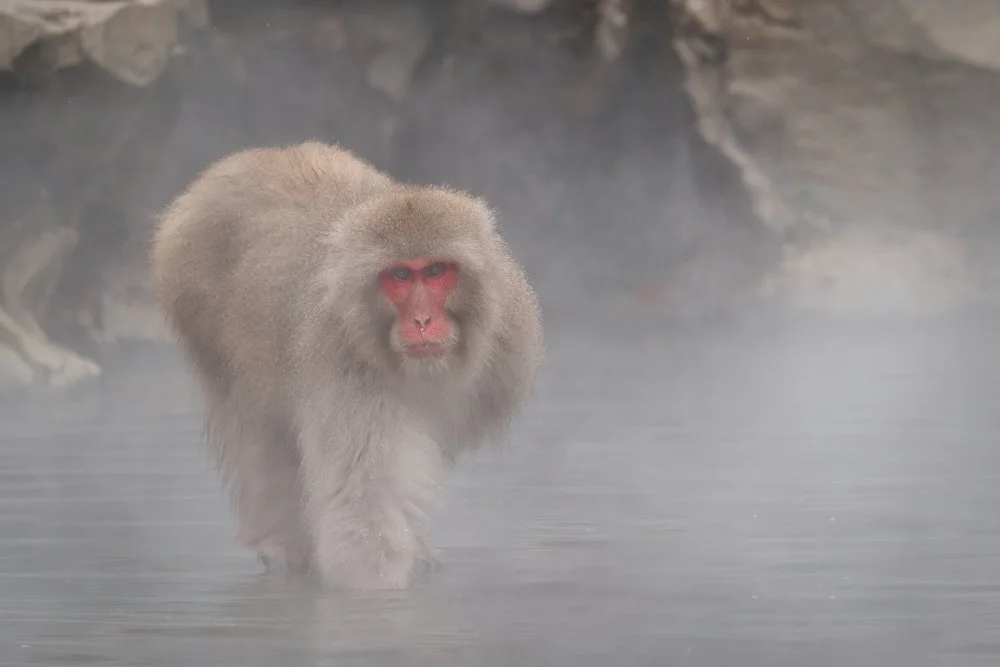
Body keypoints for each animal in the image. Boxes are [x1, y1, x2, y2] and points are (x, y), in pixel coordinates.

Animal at [150, 141, 544, 590]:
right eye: (401, 275)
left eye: (436, 271)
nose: (423, 321)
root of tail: (253, 157)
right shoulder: (344, 364)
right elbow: (362, 502)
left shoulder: (505, 348)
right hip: (199, 309)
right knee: (257, 429)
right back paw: (283, 543)